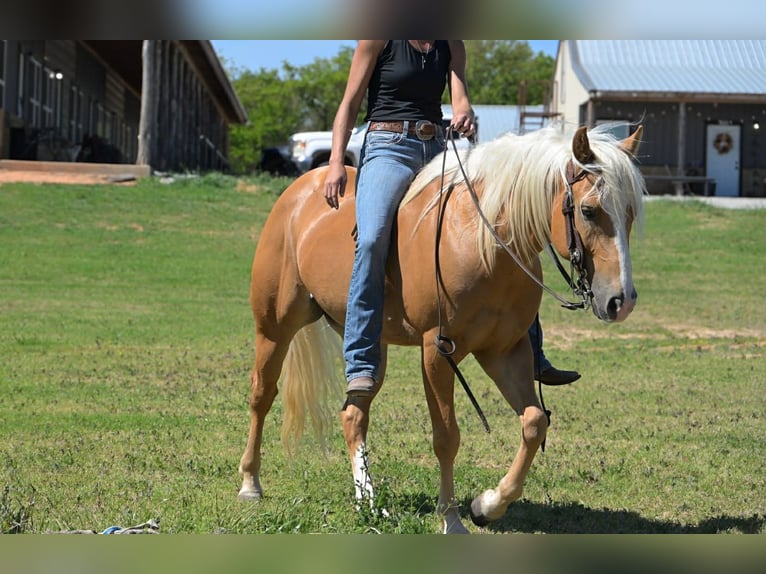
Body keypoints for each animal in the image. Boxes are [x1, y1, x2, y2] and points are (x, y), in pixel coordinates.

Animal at [237, 124, 646, 533]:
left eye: (629, 214)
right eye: (588, 211)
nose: (621, 301)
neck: (483, 244)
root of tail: (301, 189)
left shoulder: (505, 351)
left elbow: (534, 422)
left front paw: (487, 505)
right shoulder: (437, 351)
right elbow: (447, 436)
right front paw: (451, 518)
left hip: (370, 348)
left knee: (353, 412)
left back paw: (368, 501)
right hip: (274, 328)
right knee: (262, 394)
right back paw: (250, 484)